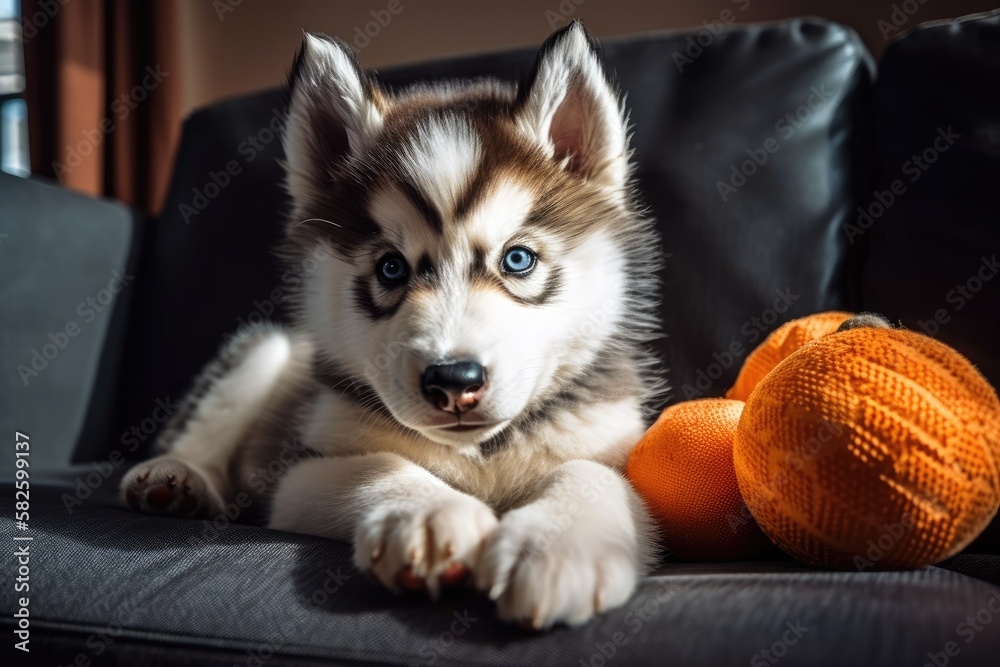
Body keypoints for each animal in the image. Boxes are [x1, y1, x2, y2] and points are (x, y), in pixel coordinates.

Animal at [123, 19, 664, 628]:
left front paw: (558, 544)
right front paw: (427, 516)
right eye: (391, 268)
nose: (454, 382)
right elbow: (377, 464)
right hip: (266, 351)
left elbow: (591, 474)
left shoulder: (614, 444)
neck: (482, 454)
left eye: (518, 259)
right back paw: (175, 478)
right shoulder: (301, 470)